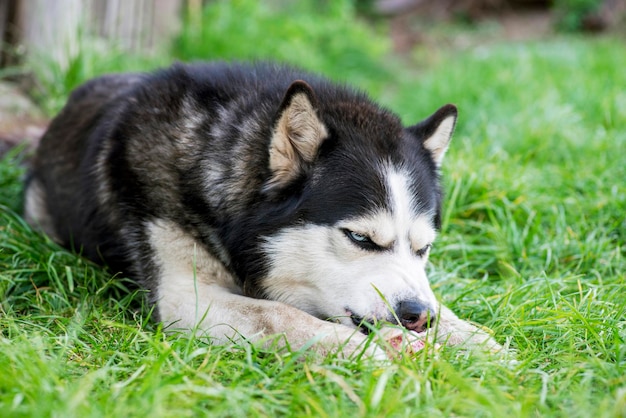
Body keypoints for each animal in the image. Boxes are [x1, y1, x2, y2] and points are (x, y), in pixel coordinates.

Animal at [24, 62, 500, 360]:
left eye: (423, 248)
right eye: (360, 238)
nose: (418, 316)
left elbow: (451, 311)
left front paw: (480, 344)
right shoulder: (182, 299)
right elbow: (279, 314)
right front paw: (360, 350)